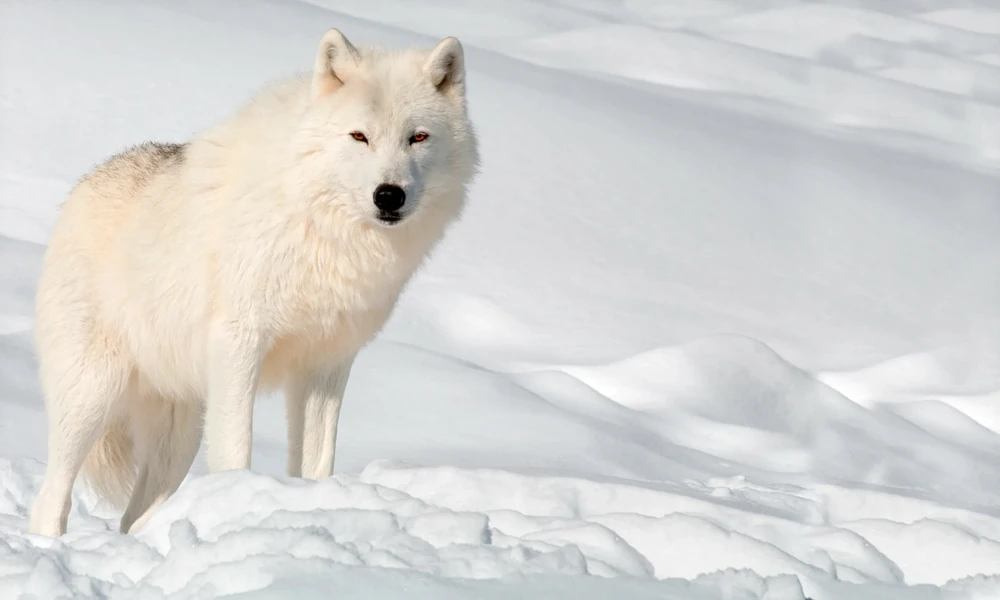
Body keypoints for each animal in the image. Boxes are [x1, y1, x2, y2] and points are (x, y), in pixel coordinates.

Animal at [28, 29, 479, 537]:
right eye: (359, 136)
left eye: (417, 137)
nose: (389, 195)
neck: (322, 229)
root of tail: (81, 187)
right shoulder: (239, 341)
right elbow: (235, 449)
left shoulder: (326, 363)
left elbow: (316, 462)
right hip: (91, 397)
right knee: (51, 499)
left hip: (177, 437)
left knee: (134, 518)